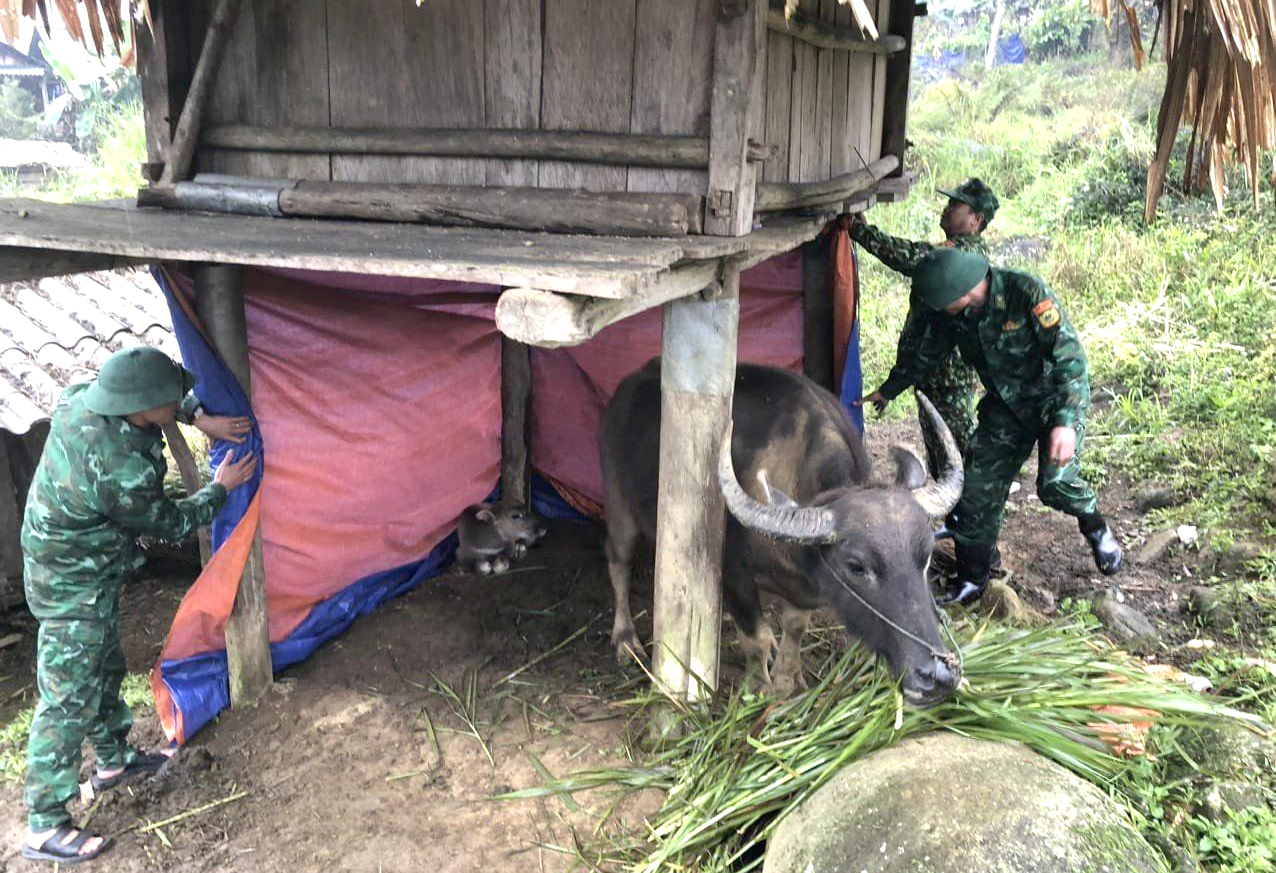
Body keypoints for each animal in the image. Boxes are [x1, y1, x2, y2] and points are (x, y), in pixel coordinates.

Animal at [597, 357, 964, 704]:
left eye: (927, 557)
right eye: (856, 566)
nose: (937, 674)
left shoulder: (804, 588)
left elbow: (795, 627)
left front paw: (788, 679)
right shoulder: (733, 575)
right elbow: (754, 637)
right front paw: (758, 688)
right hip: (618, 505)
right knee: (618, 563)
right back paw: (625, 641)